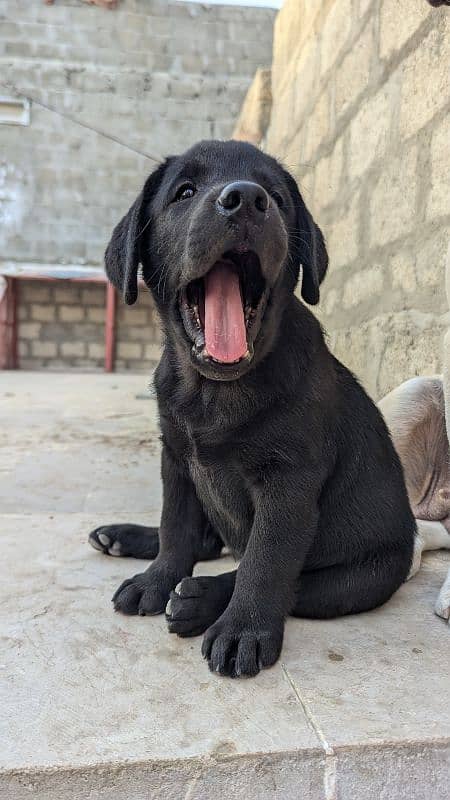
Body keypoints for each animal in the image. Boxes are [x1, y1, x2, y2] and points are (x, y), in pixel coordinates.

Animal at [89, 141, 414, 680]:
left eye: (277, 199)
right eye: (184, 192)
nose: (245, 199)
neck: (214, 391)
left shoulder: (288, 483)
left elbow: (265, 562)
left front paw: (242, 630)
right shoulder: (177, 459)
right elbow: (174, 527)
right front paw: (157, 580)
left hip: (363, 576)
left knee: (286, 579)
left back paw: (199, 599)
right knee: (206, 542)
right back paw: (124, 538)